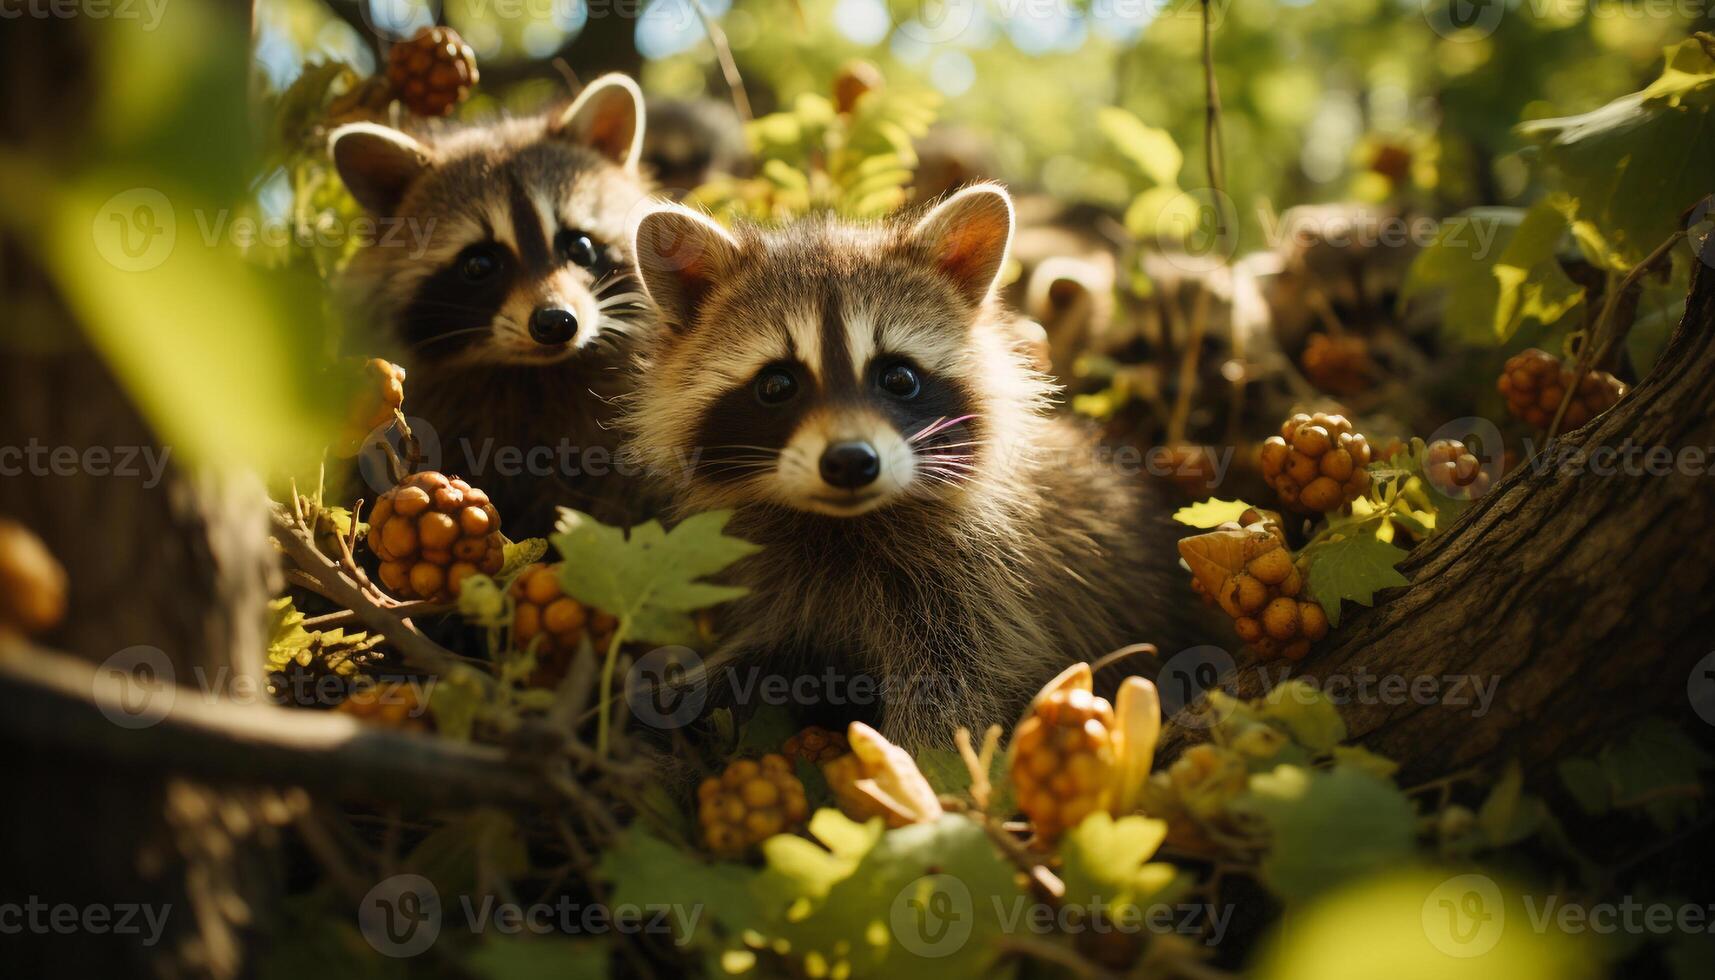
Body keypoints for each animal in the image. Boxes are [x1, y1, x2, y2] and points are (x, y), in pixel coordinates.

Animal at [624, 186, 1200, 751]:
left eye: (898, 377)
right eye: (777, 384)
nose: (851, 461)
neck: (843, 525)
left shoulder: (980, 586)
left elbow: (954, 700)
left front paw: (914, 772)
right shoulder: (787, 588)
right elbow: (764, 656)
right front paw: (672, 703)